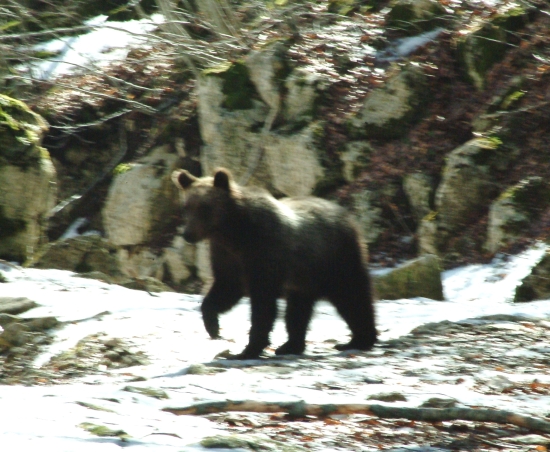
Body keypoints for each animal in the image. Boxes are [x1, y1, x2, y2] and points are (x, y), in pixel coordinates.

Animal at [174, 168, 380, 358]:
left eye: (204, 207)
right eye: (186, 207)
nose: (188, 234)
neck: (233, 233)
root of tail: (346, 215)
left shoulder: (264, 249)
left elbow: (263, 302)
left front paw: (248, 349)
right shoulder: (226, 256)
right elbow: (226, 287)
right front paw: (213, 327)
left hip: (335, 259)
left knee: (352, 295)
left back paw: (359, 340)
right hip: (304, 277)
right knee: (298, 309)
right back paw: (291, 346)